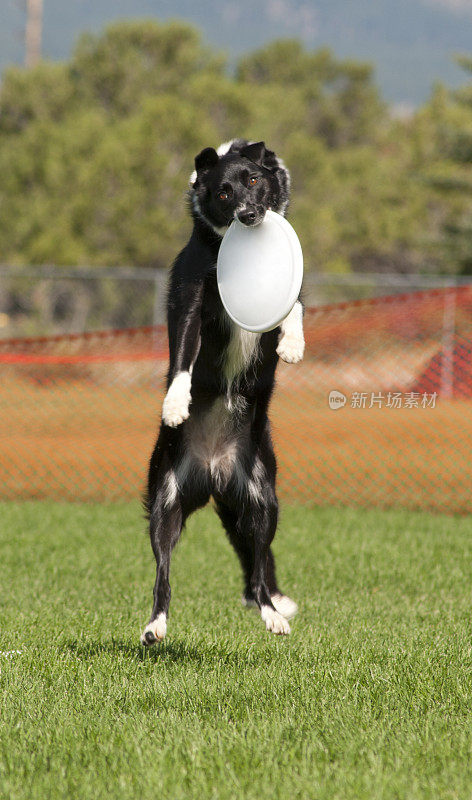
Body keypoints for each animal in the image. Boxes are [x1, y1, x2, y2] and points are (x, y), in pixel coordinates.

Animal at [140, 139, 304, 644]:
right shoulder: (190, 304)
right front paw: (176, 404)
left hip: (262, 503)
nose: (249, 216)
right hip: (166, 501)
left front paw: (293, 345)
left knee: (258, 567)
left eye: (253, 180)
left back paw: (272, 613)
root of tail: (213, 472)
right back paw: (154, 625)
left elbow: (293, 310)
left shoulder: (291, 292)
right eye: (224, 193)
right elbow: (182, 358)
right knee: (163, 574)